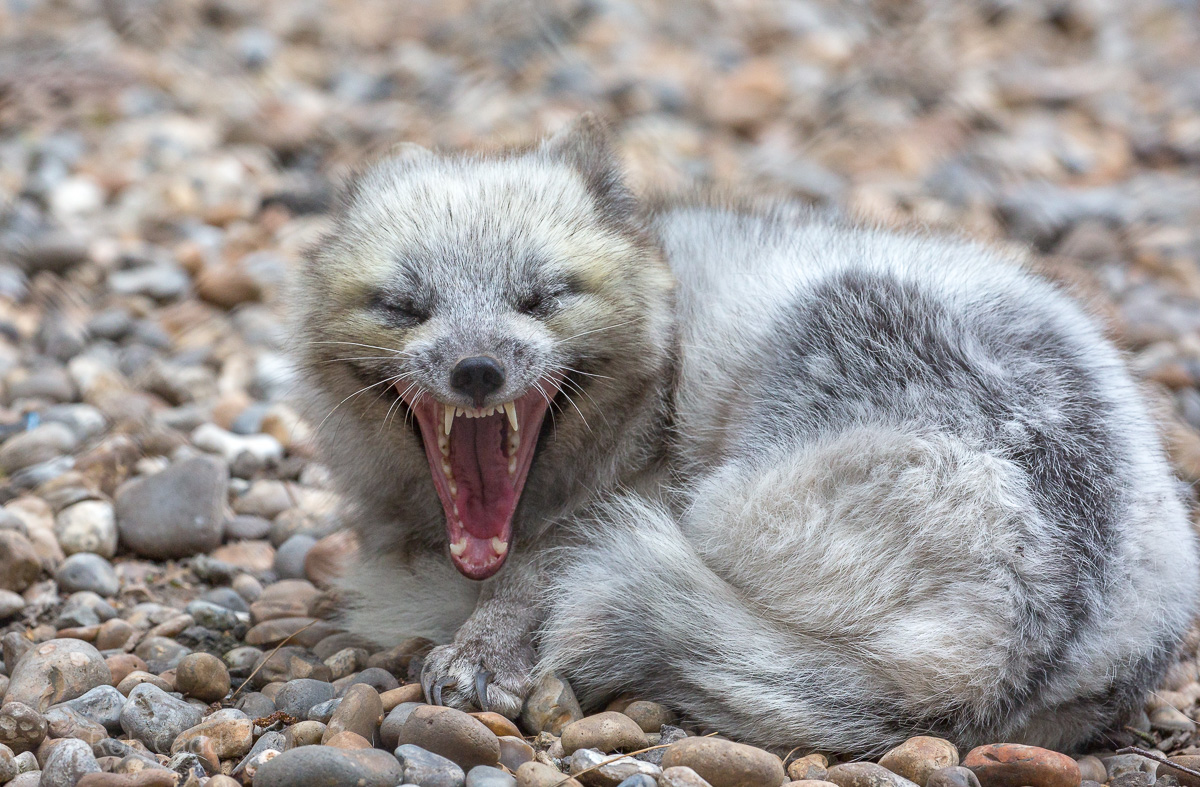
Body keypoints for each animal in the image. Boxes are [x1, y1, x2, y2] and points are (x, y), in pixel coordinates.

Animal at [295, 115, 1199, 754]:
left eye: (542, 298)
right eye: (404, 307)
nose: (477, 370)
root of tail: (1036, 639)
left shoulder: (635, 490)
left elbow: (535, 571)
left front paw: (486, 649)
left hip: (745, 461)